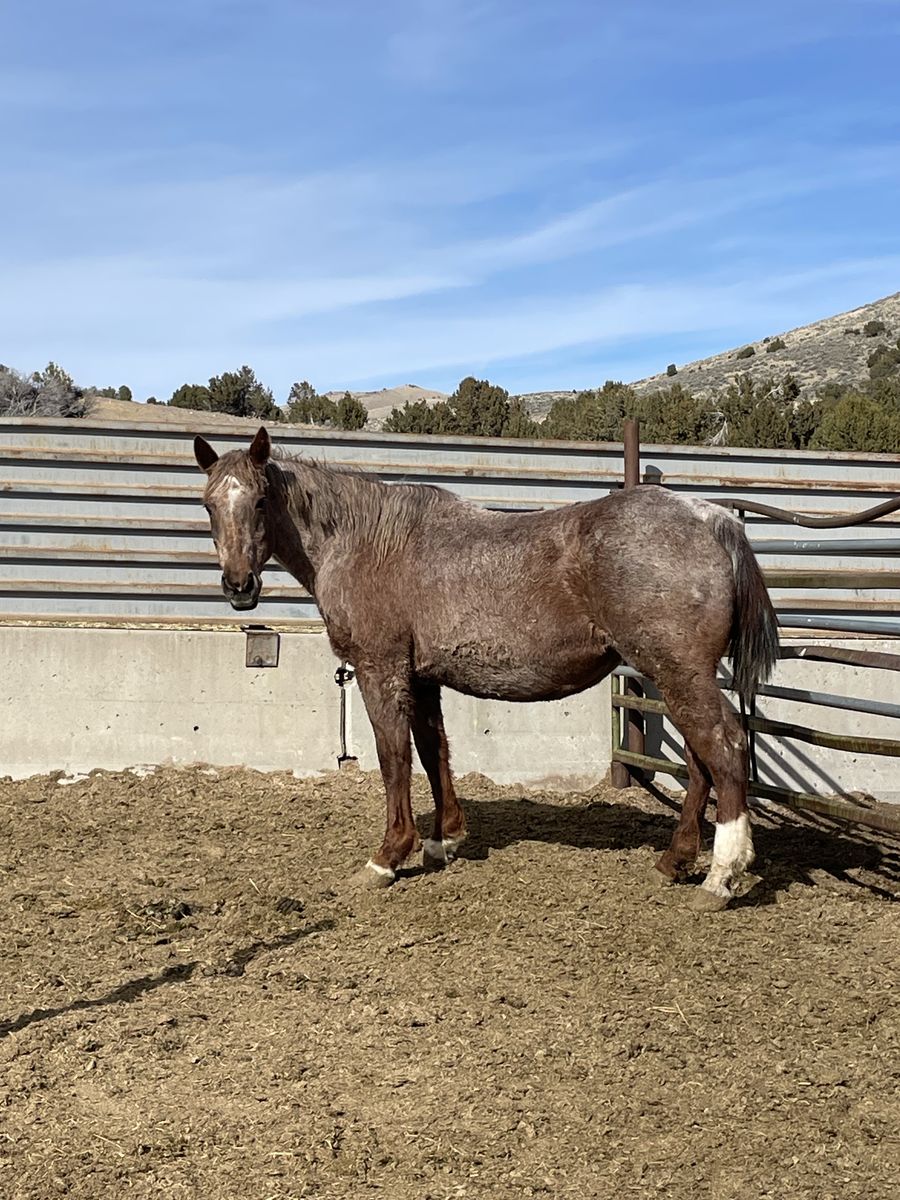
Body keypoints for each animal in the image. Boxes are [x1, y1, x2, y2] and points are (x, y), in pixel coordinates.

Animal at [193, 426, 779, 912]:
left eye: (261, 500)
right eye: (208, 505)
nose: (239, 586)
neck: (365, 542)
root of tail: (711, 518)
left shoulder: (381, 670)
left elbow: (394, 757)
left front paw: (389, 856)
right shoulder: (422, 677)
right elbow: (433, 749)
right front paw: (443, 839)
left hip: (679, 673)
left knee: (724, 746)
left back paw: (721, 876)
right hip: (671, 675)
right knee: (700, 760)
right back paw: (674, 861)